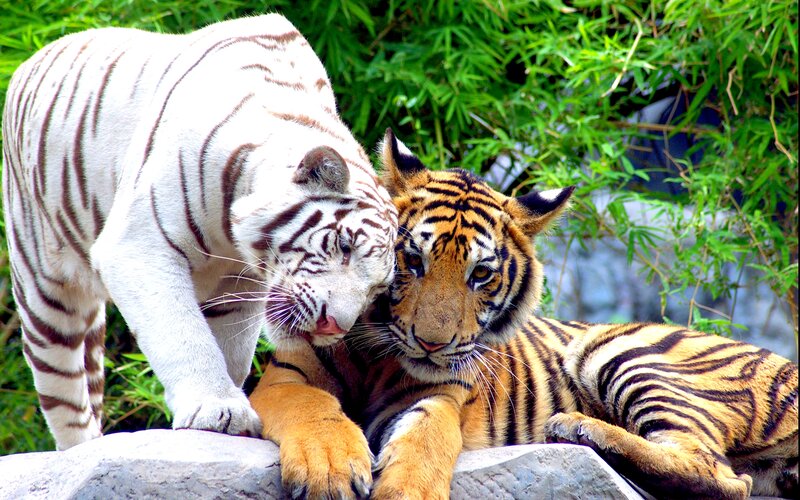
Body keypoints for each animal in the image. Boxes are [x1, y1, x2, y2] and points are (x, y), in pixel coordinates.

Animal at [1, 14, 397, 451]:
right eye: (344, 246)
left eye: (377, 290)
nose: (334, 327)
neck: (231, 233)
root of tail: (34, 55)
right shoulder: (139, 246)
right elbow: (184, 335)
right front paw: (217, 409)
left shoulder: (238, 286)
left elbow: (228, 349)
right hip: (44, 290)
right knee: (64, 394)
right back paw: (82, 450)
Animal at [249, 130, 798, 499]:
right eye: (412, 260)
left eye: (481, 274)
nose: (431, 344)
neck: (376, 357)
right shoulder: (284, 377)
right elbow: (314, 408)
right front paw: (329, 469)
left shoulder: (440, 397)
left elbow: (425, 442)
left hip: (620, 350)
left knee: (720, 473)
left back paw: (579, 429)